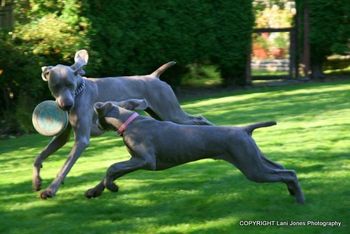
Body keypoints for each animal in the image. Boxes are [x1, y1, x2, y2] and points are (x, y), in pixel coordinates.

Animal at [35, 49, 212, 199]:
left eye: (70, 85)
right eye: (56, 86)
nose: (66, 105)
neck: (79, 92)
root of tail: (153, 76)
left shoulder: (82, 139)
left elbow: (66, 165)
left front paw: (51, 190)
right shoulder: (62, 136)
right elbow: (41, 155)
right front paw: (37, 181)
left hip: (170, 111)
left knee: (199, 119)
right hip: (160, 113)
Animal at [88, 99, 306, 204]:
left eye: (95, 116)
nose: (92, 127)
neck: (129, 122)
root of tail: (244, 129)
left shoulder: (146, 160)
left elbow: (112, 167)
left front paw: (112, 187)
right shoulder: (134, 159)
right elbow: (113, 171)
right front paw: (94, 191)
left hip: (252, 168)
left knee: (287, 174)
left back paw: (300, 200)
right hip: (254, 157)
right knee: (284, 168)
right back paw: (292, 191)